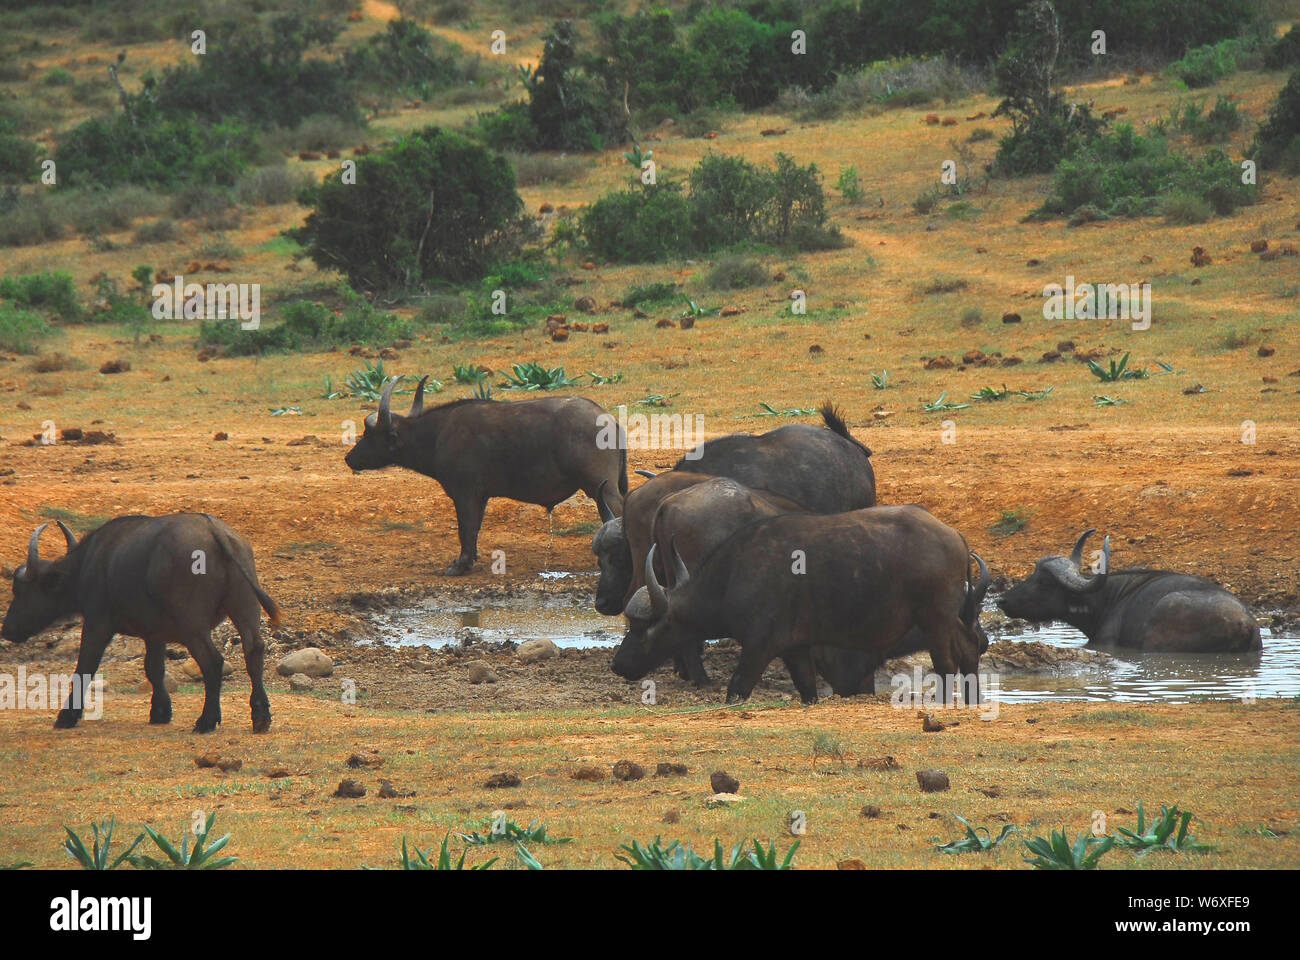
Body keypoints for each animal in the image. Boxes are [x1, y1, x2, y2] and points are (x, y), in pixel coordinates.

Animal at [3, 512, 279, 728]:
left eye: (19, 589)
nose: (7, 629)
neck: (90, 564)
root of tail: (215, 531)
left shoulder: (97, 624)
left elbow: (85, 667)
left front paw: (66, 716)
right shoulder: (154, 634)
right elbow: (154, 668)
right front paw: (160, 712)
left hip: (193, 625)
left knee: (212, 661)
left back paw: (207, 721)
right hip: (245, 606)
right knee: (254, 650)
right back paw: (261, 716)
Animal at [345, 377, 629, 572]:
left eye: (370, 434)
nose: (349, 457)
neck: (437, 436)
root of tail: (610, 420)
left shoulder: (465, 494)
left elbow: (465, 527)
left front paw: (460, 565)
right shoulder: (480, 497)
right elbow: (474, 528)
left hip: (603, 488)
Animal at [608, 502, 982, 702]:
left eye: (642, 627)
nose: (618, 664)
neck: (733, 576)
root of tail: (954, 536)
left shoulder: (759, 646)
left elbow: (737, 688)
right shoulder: (796, 649)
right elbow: (808, 690)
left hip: (935, 618)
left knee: (947, 663)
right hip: (949, 619)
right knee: (969, 649)